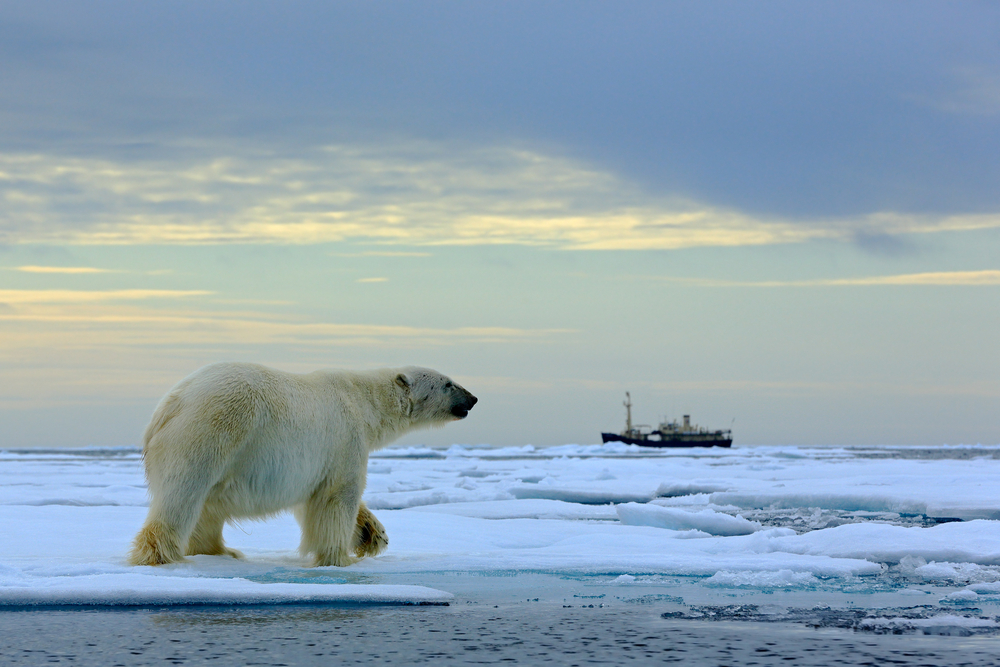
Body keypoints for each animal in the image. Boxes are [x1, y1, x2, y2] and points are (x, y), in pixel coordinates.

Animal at [127, 366, 478, 568]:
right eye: (448, 384)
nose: (473, 398)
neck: (365, 401)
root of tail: (171, 404)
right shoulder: (345, 436)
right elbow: (338, 496)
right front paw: (339, 557)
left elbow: (313, 497)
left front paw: (372, 534)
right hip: (212, 429)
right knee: (184, 494)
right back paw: (160, 554)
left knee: (208, 506)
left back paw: (222, 552)